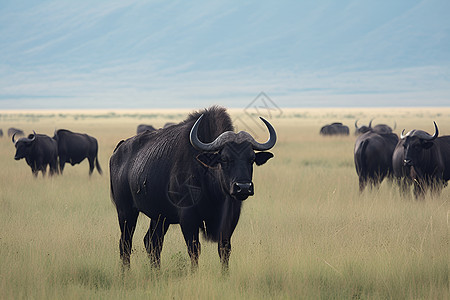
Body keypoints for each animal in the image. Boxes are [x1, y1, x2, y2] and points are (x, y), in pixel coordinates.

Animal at [110, 106, 276, 274]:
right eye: (224, 159)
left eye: (251, 159)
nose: (243, 187)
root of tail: (118, 150)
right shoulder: (188, 218)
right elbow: (194, 249)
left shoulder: (230, 219)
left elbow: (224, 249)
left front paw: (225, 275)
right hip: (125, 212)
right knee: (125, 243)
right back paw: (126, 273)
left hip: (159, 217)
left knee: (152, 242)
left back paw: (156, 273)